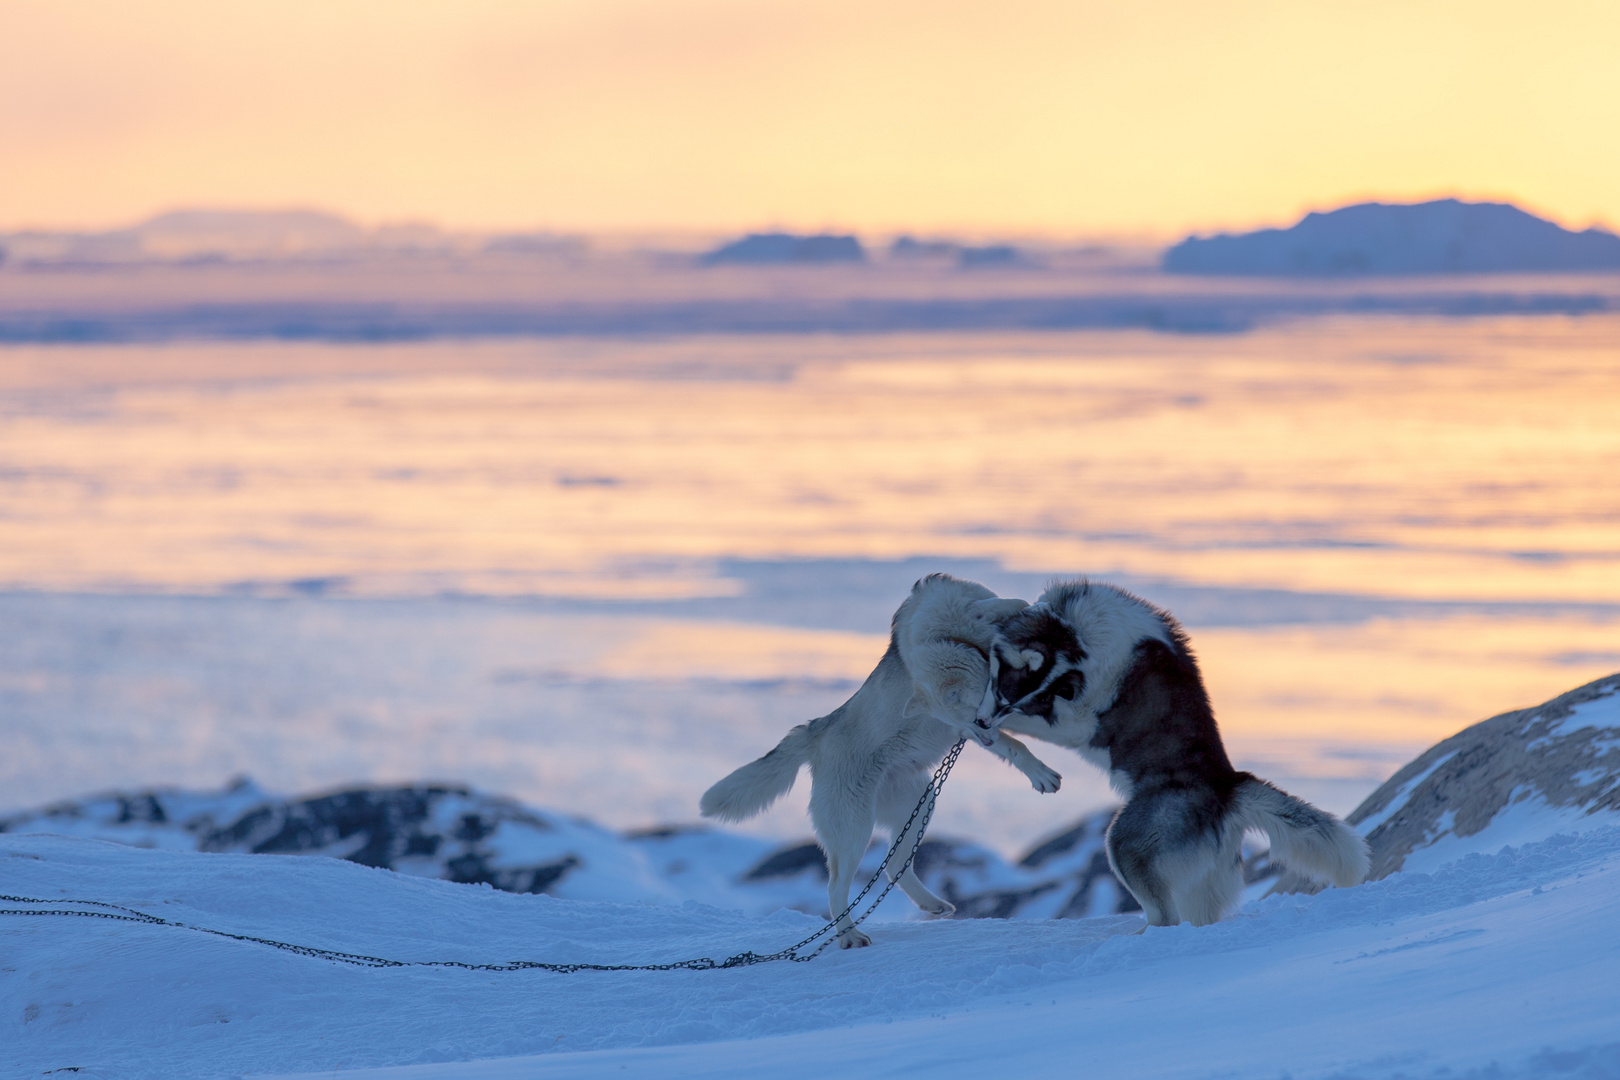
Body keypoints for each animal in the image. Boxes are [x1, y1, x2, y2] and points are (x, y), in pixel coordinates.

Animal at [699, 573, 1062, 945]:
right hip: (855, 831)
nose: (985, 735)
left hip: (919, 804)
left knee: (894, 866)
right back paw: (849, 936)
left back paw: (931, 904)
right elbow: (1005, 606)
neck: (956, 637)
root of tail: (817, 729)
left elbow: (1013, 744)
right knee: (837, 889)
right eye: (972, 724)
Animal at [972, 582, 1367, 932]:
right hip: (1199, 880)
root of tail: (1227, 784)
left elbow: (1040, 725)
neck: (1076, 636)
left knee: (1165, 917)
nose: (982, 723)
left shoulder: (1081, 722)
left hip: (1127, 843)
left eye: (1010, 699)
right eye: (1002, 689)